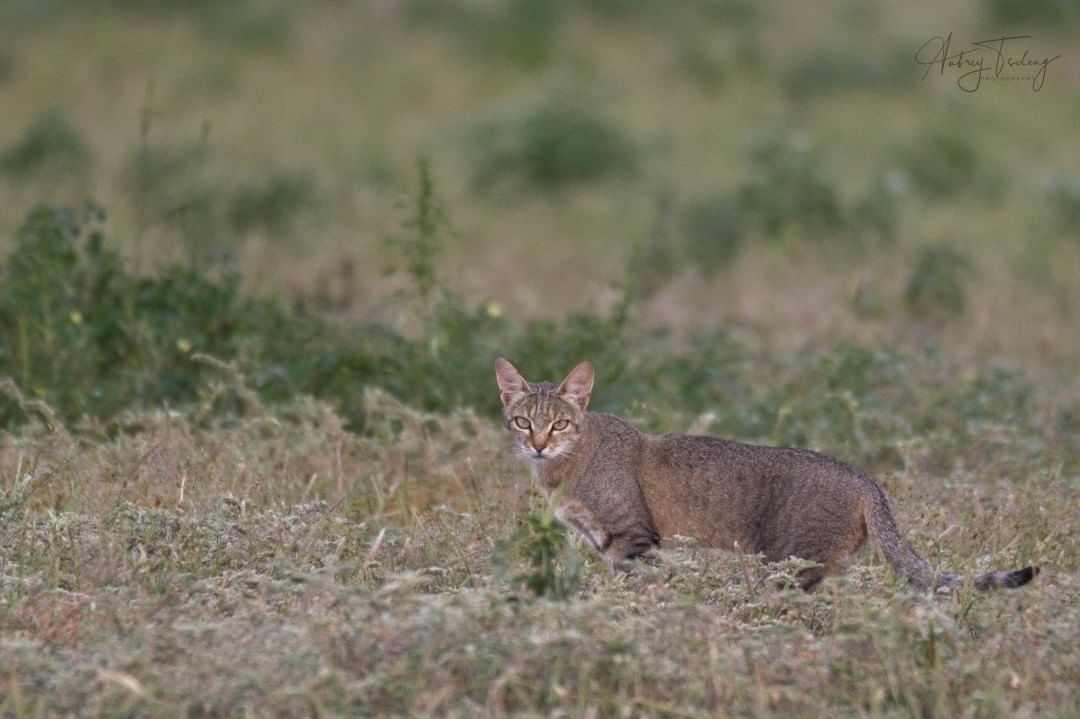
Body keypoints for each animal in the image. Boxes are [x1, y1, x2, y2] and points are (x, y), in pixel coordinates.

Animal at [494, 356, 1036, 591]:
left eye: (559, 423)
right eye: (522, 421)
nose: (538, 444)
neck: (564, 466)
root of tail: (866, 479)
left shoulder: (633, 539)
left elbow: (633, 587)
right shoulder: (603, 543)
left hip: (792, 564)